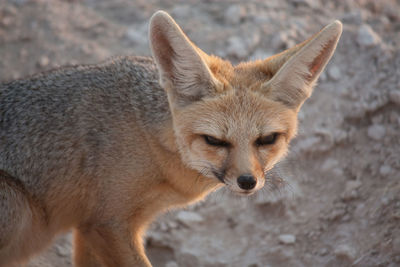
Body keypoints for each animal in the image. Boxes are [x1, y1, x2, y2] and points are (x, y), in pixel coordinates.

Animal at [0, 10, 344, 267]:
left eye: (267, 139)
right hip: (18, 205)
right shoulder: (107, 224)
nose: (247, 181)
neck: (152, 142)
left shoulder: (92, 227)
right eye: (214, 141)